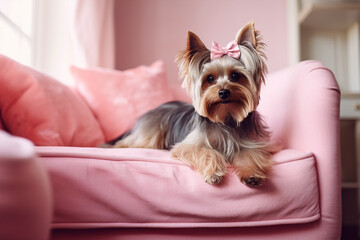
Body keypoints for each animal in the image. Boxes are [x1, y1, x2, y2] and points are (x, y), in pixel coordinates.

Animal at [105, 21, 274, 188]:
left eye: (235, 76)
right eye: (210, 78)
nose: (223, 92)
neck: (225, 117)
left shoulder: (251, 144)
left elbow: (251, 154)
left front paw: (252, 175)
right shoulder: (189, 146)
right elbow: (206, 152)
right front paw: (213, 173)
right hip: (149, 135)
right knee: (130, 142)